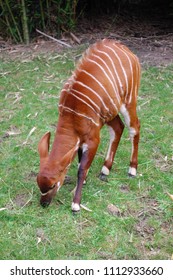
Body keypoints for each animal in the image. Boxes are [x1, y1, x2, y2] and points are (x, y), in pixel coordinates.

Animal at [36, 38, 141, 212]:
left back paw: (132, 169)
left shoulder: (93, 139)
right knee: (118, 128)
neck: (71, 113)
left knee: (134, 128)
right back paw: (105, 169)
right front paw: (84, 182)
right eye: (39, 185)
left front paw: (76, 204)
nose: (43, 204)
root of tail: (127, 50)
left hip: (129, 100)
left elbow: (81, 169)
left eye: (52, 185)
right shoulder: (81, 139)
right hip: (109, 112)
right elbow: (80, 161)